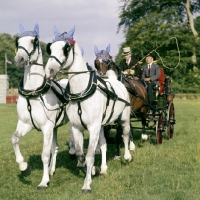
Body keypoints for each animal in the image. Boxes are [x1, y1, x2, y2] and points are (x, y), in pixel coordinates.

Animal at [11, 23, 69, 189]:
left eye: (34, 41)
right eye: (18, 41)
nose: (19, 59)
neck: (33, 93)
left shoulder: (46, 128)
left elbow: (44, 155)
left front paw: (43, 181)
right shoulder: (26, 124)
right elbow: (14, 139)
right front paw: (24, 168)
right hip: (55, 127)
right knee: (55, 148)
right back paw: (51, 170)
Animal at [44, 25, 134, 193]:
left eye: (66, 48)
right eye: (50, 48)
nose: (49, 71)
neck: (80, 92)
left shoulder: (93, 127)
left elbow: (90, 155)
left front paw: (86, 184)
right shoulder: (78, 127)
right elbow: (81, 153)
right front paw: (92, 169)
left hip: (124, 119)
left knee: (125, 136)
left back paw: (126, 156)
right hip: (102, 125)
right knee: (104, 144)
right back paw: (103, 169)